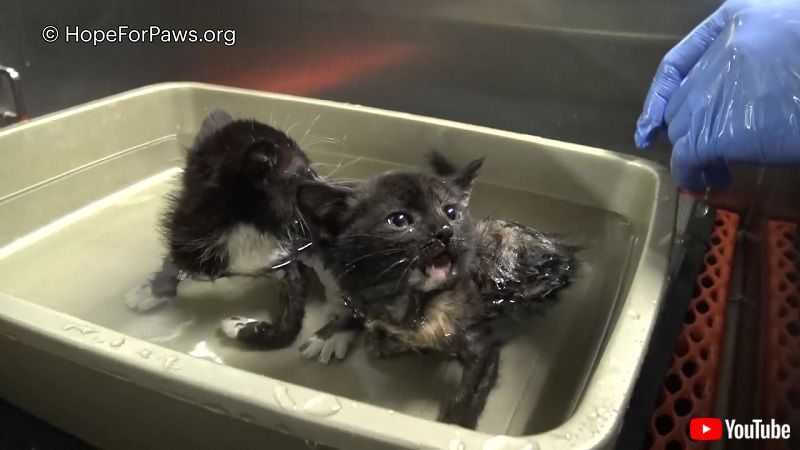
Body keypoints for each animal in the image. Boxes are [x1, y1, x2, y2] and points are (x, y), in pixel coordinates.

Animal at [125, 109, 352, 353]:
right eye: (308, 170)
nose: (328, 186)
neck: (243, 226)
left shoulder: (293, 251)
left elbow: (289, 325)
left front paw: (242, 328)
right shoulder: (187, 227)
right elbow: (176, 257)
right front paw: (153, 288)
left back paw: (333, 334)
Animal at [296, 154, 576, 428]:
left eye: (451, 212)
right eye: (399, 220)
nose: (445, 231)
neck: (416, 301)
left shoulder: (483, 347)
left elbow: (470, 392)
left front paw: (457, 423)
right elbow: (369, 324)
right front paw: (333, 331)